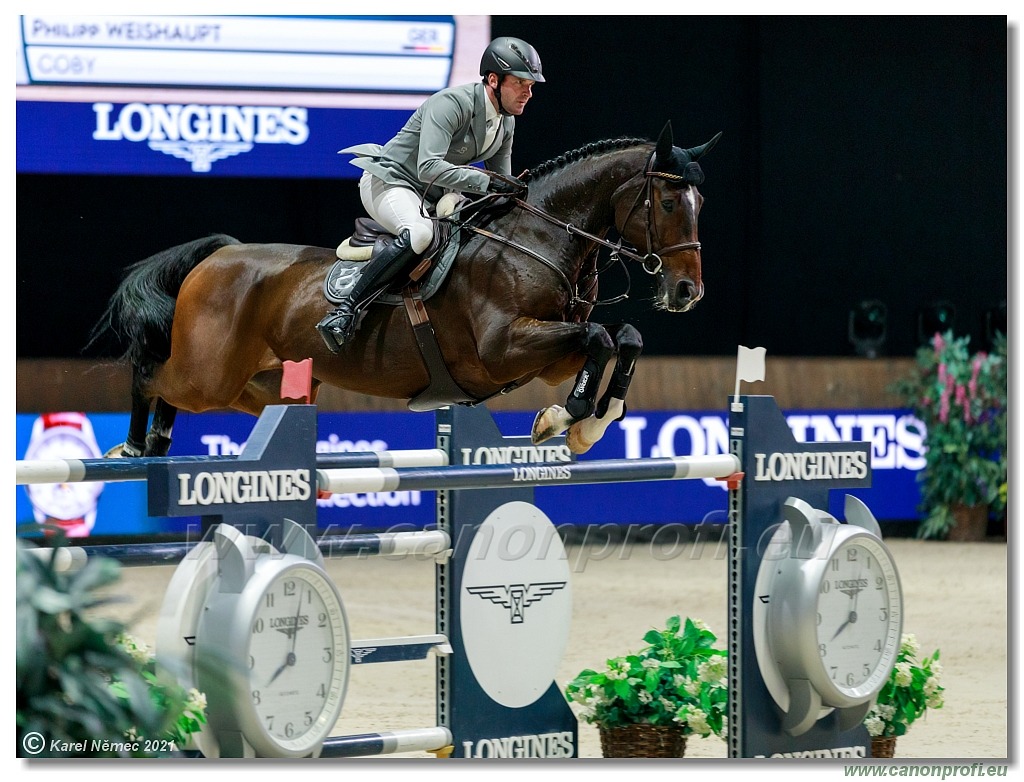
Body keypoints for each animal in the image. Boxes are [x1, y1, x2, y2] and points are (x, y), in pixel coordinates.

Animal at [94, 122, 720, 458]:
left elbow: (622, 337)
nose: (687, 291)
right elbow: (599, 338)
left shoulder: (547, 358)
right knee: (153, 375)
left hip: (261, 384)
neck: (538, 236)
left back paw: (157, 441)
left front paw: (589, 423)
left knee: (192, 394)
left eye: (701, 203)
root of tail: (218, 255)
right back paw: (133, 445)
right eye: (669, 202)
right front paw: (564, 420)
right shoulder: (503, 348)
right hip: (210, 372)